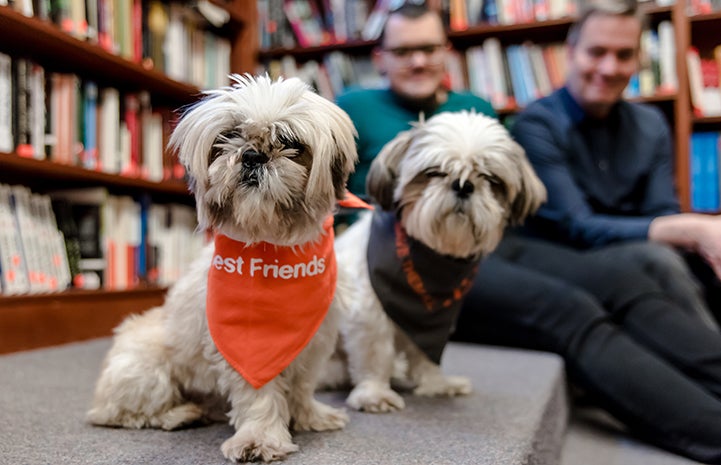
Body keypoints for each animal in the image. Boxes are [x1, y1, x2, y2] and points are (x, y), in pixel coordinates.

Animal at [87, 75, 360, 460]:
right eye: (229, 135)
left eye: (290, 142)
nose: (252, 155)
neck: (271, 247)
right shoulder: (246, 349)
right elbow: (260, 396)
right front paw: (260, 438)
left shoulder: (315, 340)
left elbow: (303, 385)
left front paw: (309, 415)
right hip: (145, 368)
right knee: (122, 414)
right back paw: (180, 414)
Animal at [324, 110, 544, 412]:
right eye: (434, 172)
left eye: (490, 178)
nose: (463, 185)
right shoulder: (368, 313)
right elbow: (374, 353)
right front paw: (374, 393)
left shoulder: (433, 323)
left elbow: (427, 352)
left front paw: (436, 384)